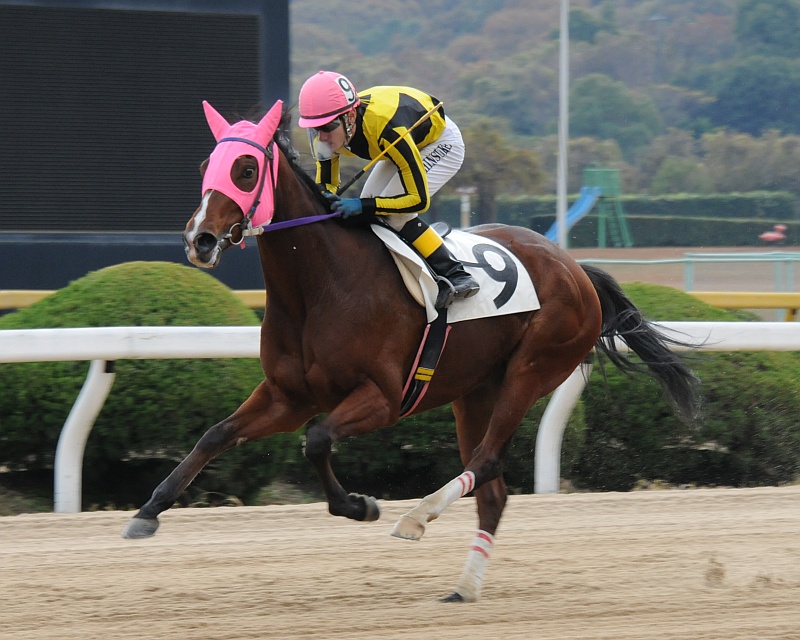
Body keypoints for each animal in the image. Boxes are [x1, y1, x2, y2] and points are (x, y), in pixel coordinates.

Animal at [122, 100, 701, 603]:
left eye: (245, 169)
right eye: (206, 165)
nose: (199, 240)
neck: (322, 283)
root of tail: (576, 268)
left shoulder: (383, 397)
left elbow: (318, 439)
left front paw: (360, 505)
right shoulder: (288, 395)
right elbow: (216, 434)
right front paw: (148, 510)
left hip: (533, 368)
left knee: (488, 461)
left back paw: (416, 517)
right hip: (474, 391)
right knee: (492, 492)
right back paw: (463, 588)